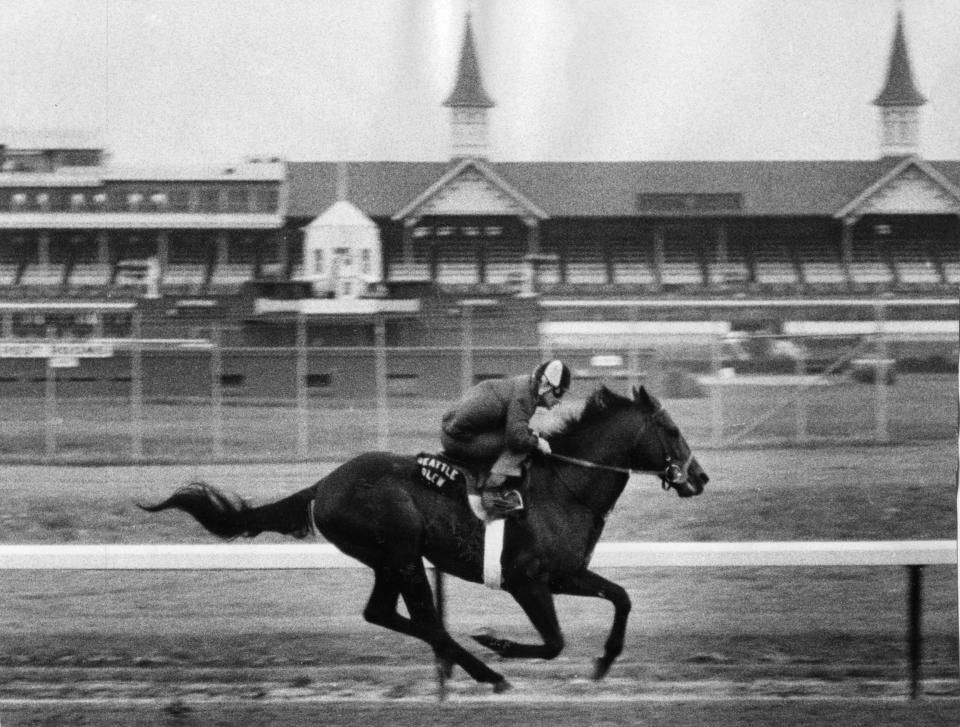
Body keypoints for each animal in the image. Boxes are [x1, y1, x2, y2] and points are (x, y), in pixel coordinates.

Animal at [144, 384, 712, 692]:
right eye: (672, 430)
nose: (700, 477)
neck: (565, 487)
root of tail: (324, 484)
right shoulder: (527, 580)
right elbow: (553, 642)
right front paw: (500, 641)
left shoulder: (567, 573)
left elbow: (622, 597)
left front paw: (604, 662)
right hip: (401, 553)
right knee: (424, 620)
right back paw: (487, 669)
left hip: (389, 560)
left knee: (385, 613)